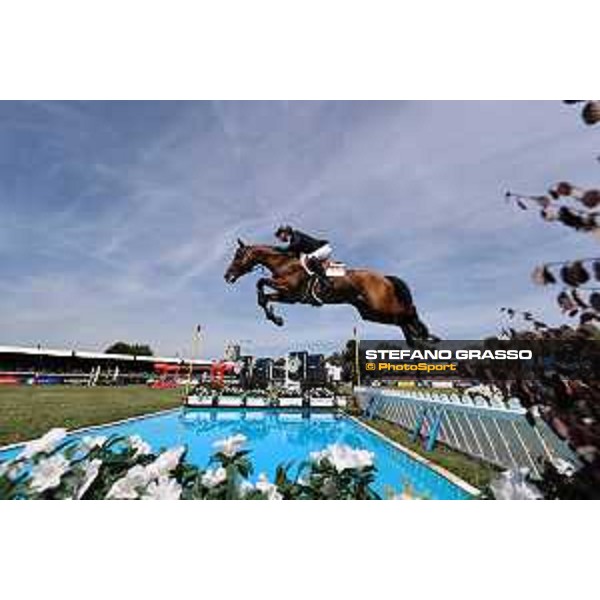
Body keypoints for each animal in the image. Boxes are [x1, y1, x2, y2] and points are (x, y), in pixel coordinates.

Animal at [223, 237, 438, 344]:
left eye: (238, 255)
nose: (227, 276)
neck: (283, 263)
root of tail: (384, 277)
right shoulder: (290, 297)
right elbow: (264, 297)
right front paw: (276, 319)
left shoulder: (289, 289)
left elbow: (260, 282)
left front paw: (275, 317)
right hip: (370, 312)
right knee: (401, 319)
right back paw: (417, 339)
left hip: (379, 305)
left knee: (408, 312)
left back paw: (426, 335)